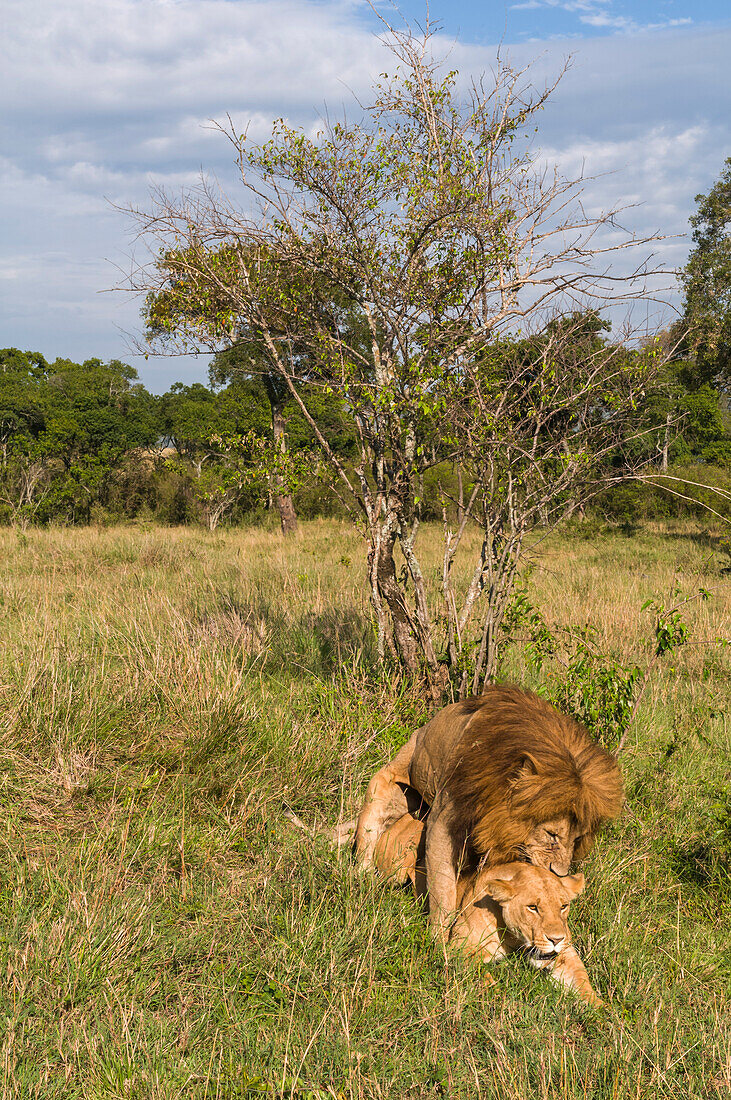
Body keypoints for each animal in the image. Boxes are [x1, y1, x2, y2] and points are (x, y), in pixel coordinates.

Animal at [353, 686, 619, 937]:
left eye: (576, 840)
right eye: (551, 835)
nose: (560, 874)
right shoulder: (443, 824)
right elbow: (443, 888)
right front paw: (438, 940)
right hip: (384, 789)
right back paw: (362, 882)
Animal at [373, 814, 602, 1007]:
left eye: (563, 906)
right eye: (533, 908)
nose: (557, 939)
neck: (514, 939)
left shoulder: (567, 953)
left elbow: (582, 978)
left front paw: (600, 1010)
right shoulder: (459, 948)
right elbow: (485, 978)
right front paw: (498, 999)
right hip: (393, 872)